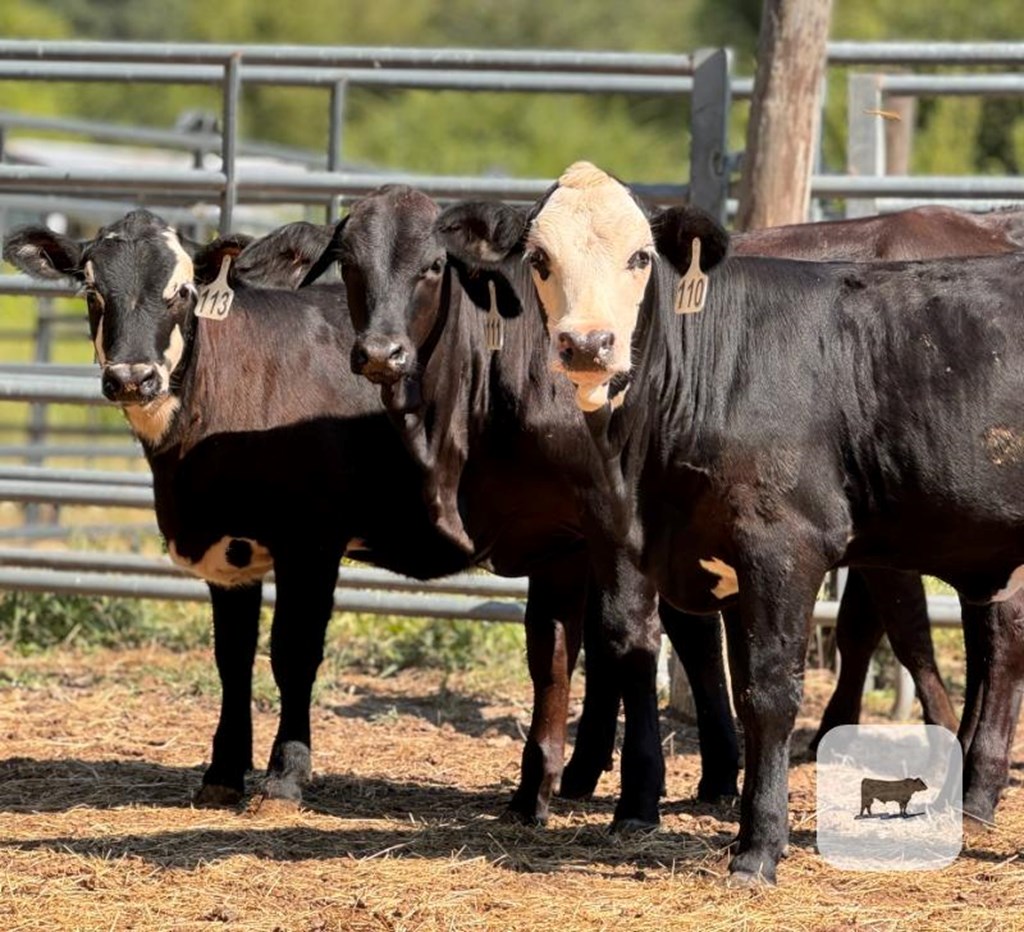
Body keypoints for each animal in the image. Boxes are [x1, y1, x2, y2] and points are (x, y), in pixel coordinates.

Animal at [2, 207, 630, 819]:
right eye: (92, 291)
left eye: (181, 291)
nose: (132, 377)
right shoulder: (228, 551)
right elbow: (232, 658)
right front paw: (222, 775)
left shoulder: (310, 542)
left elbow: (292, 653)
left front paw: (285, 776)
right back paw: (581, 777)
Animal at [436, 163, 1024, 884]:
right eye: (541, 259)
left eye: (640, 258)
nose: (589, 344)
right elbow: (734, 682)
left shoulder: (782, 546)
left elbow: (769, 690)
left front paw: (758, 849)